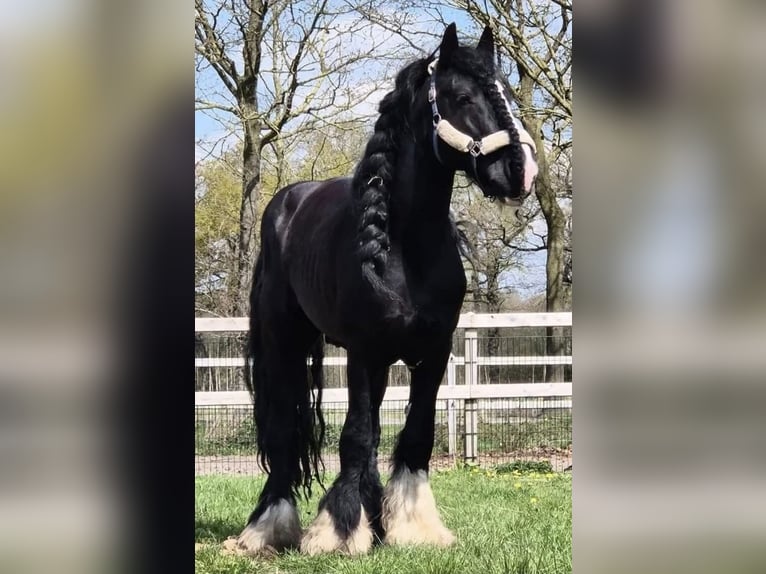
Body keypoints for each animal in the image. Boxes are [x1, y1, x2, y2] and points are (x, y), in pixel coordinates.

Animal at [234, 23, 538, 555]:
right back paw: (269, 527)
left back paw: (372, 517)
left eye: (505, 92)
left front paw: (410, 526)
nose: (519, 171)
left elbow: (414, 433)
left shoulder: (433, 352)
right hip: (285, 343)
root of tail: (288, 201)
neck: (405, 247)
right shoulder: (364, 352)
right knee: (285, 430)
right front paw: (336, 531)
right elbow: (356, 436)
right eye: (462, 97)